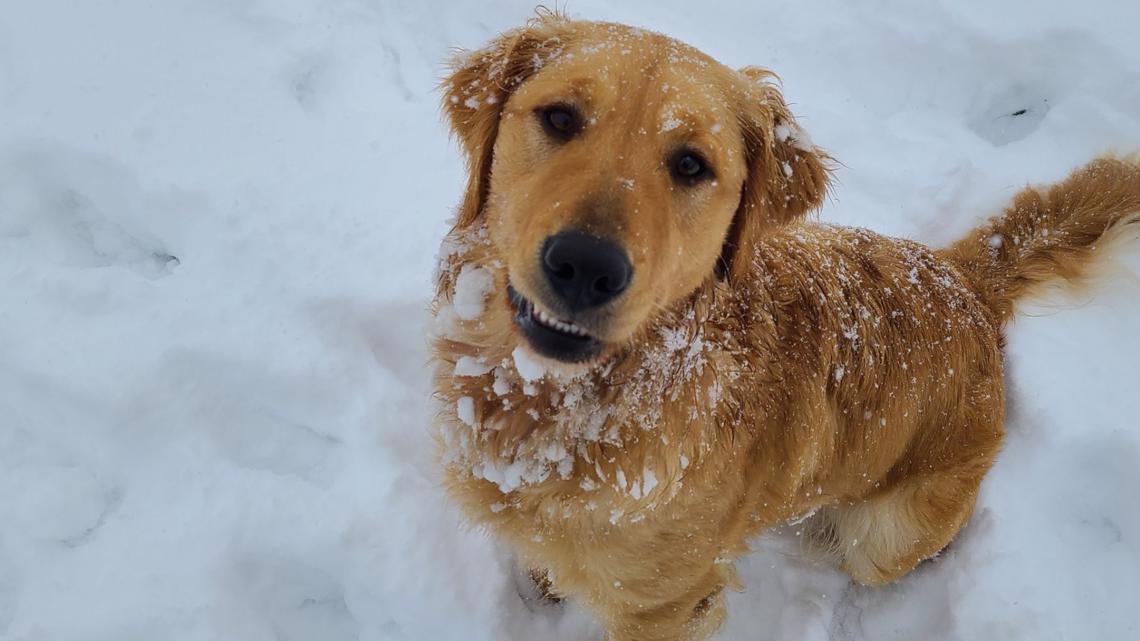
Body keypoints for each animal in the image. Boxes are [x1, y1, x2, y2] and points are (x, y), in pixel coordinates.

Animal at [428, 14, 1140, 638]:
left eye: (691, 165)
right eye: (559, 118)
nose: (585, 267)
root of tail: (963, 279)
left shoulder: (664, 606)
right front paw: (544, 579)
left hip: (888, 539)